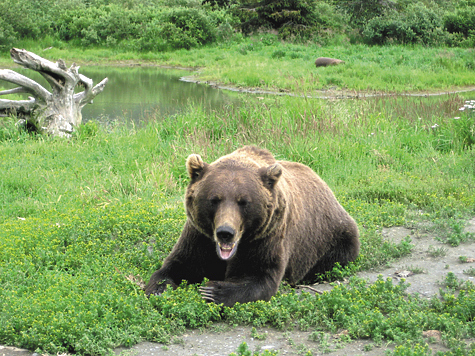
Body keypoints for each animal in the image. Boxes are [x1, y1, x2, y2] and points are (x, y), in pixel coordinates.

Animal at [145, 146, 360, 308]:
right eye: (214, 199)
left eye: (243, 201)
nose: (225, 233)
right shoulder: (200, 237)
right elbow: (177, 264)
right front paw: (158, 289)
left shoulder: (266, 237)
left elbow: (259, 276)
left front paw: (212, 290)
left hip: (334, 235)